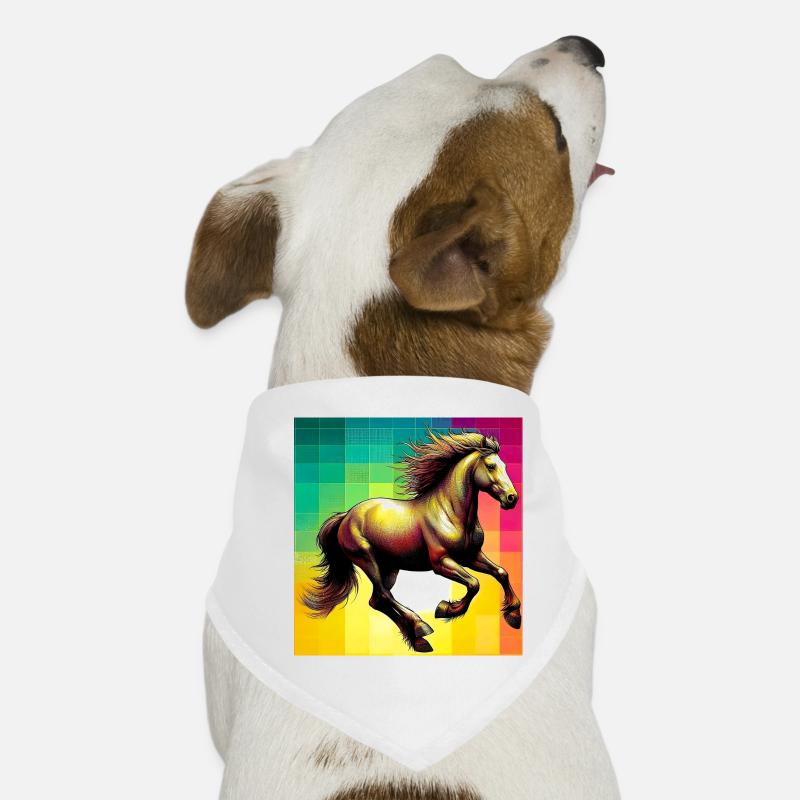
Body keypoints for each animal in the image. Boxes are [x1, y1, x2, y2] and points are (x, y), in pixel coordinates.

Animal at [301, 430, 521, 652]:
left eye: (504, 466)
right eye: (491, 466)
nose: (512, 498)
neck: (450, 513)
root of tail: (346, 516)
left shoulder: (471, 556)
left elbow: (501, 573)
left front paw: (513, 615)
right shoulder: (441, 562)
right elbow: (474, 583)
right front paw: (445, 609)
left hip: (389, 568)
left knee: (377, 600)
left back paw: (418, 639)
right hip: (366, 559)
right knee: (384, 596)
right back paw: (420, 626)